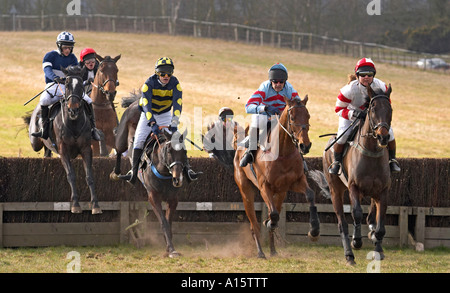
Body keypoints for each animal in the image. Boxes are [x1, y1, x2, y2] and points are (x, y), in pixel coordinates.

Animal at [27, 65, 102, 213]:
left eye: (81, 85)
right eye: (67, 84)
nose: (73, 110)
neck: (73, 123)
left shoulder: (86, 149)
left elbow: (89, 176)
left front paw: (95, 205)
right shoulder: (63, 150)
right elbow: (71, 175)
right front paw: (76, 205)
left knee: (47, 152)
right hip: (35, 142)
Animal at [110, 98, 188, 256]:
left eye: (184, 152)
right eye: (169, 151)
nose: (178, 179)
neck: (164, 173)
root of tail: (136, 101)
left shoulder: (173, 199)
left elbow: (169, 222)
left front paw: (170, 247)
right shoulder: (153, 196)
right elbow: (163, 222)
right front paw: (171, 249)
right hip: (122, 138)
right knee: (119, 149)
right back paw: (116, 173)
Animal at [232, 94, 320, 256]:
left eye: (308, 115)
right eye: (292, 117)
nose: (305, 145)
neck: (283, 153)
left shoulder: (295, 182)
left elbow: (310, 195)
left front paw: (314, 231)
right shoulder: (264, 186)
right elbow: (272, 215)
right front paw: (269, 222)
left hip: (280, 193)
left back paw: (273, 251)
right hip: (246, 191)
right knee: (254, 223)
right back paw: (261, 252)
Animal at [322, 82, 392, 264]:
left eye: (390, 109)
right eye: (373, 108)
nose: (383, 137)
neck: (371, 153)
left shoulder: (383, 191)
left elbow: (380, 224)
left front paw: (378, 249)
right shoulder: (354, 187)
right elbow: (357, 213)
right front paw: (357, 241)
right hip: (336, 190)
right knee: (342, 223)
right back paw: (349, 254)